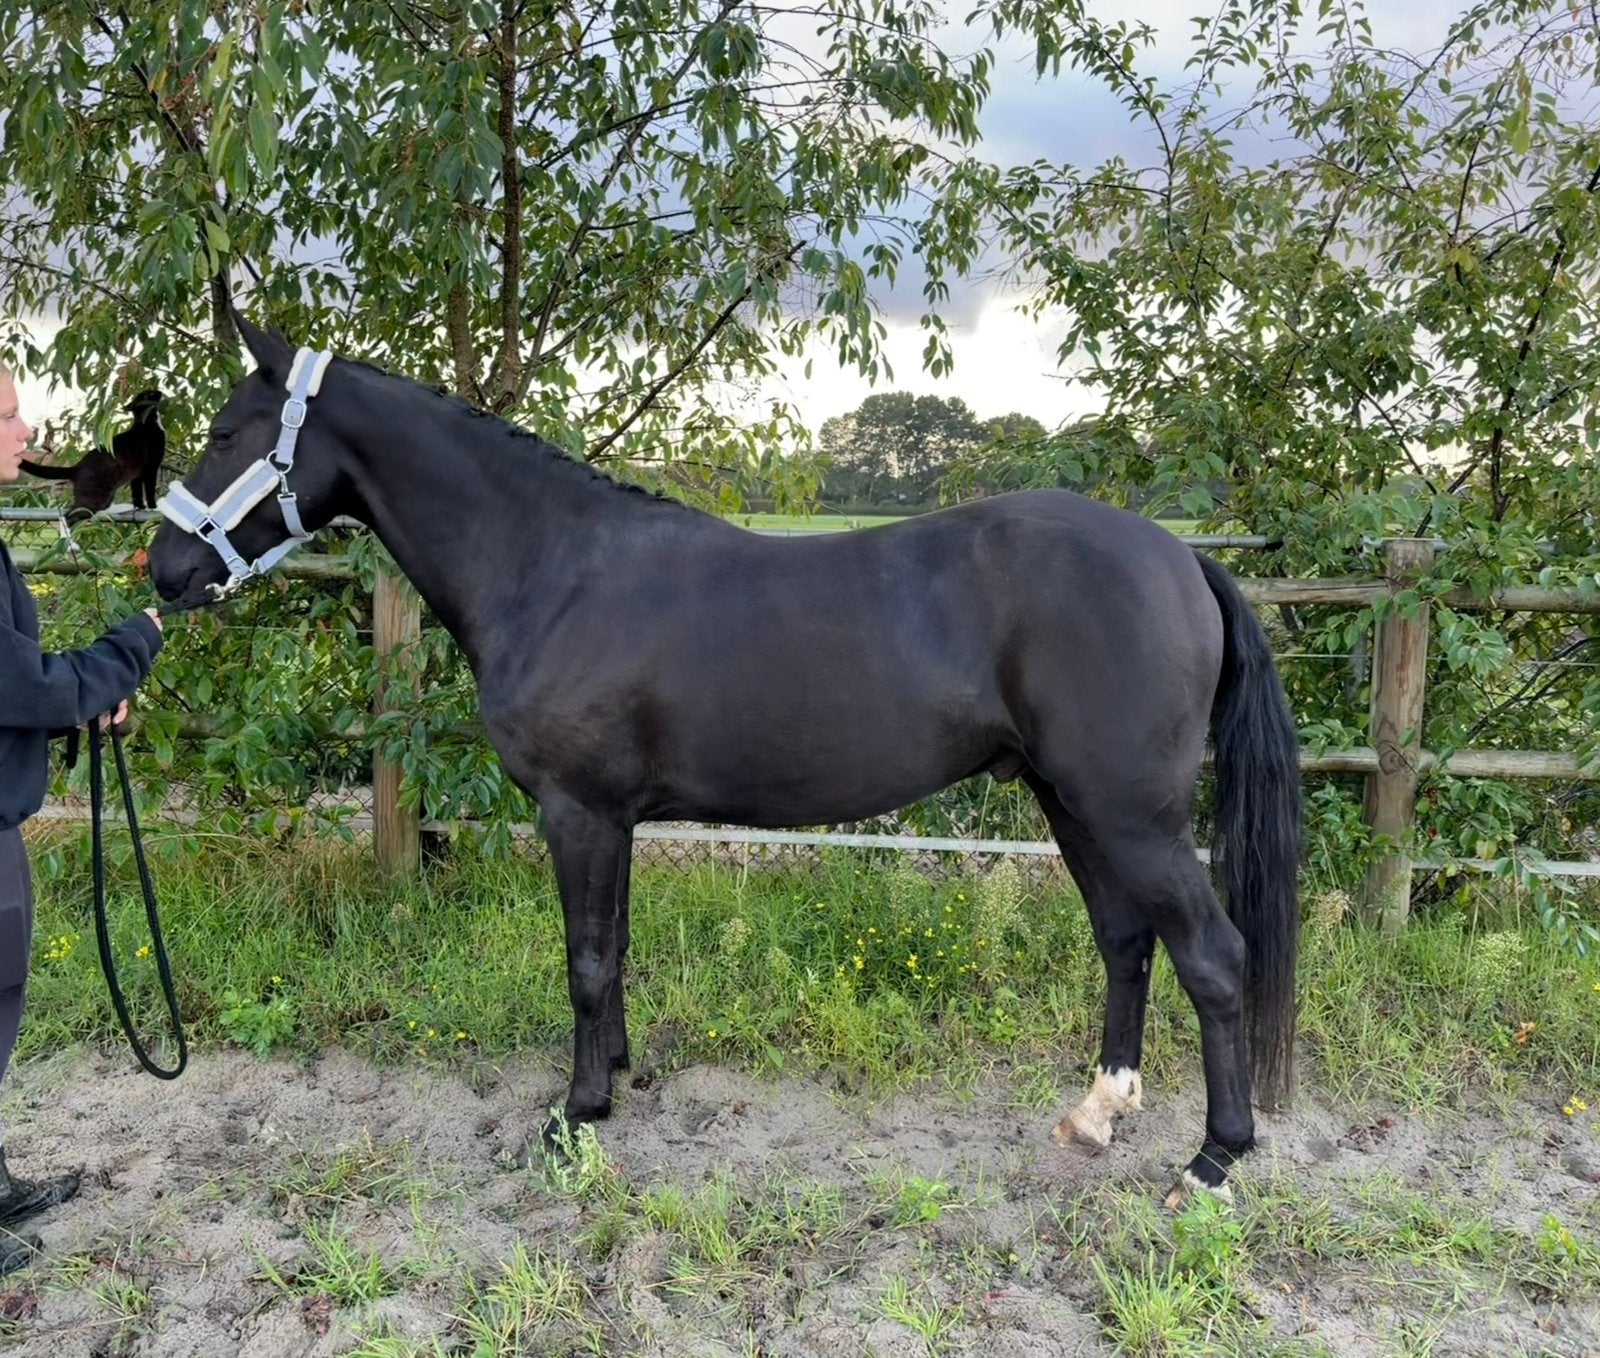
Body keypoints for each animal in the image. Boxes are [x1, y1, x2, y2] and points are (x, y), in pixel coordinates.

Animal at [149, 314, 1301, 1204]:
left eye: (224, 431)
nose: (161, 568)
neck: (549, 565)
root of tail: (1179, 556)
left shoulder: (576, 809)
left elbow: (584, 959)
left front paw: (577, 1112)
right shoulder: (610, 818)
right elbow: (611, 950)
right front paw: (617, 1072)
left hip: (1130, 814)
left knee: (1212, 955)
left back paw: (1212, 1161)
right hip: (1075, 804)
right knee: (1126, 942)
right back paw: (1097, 1113)